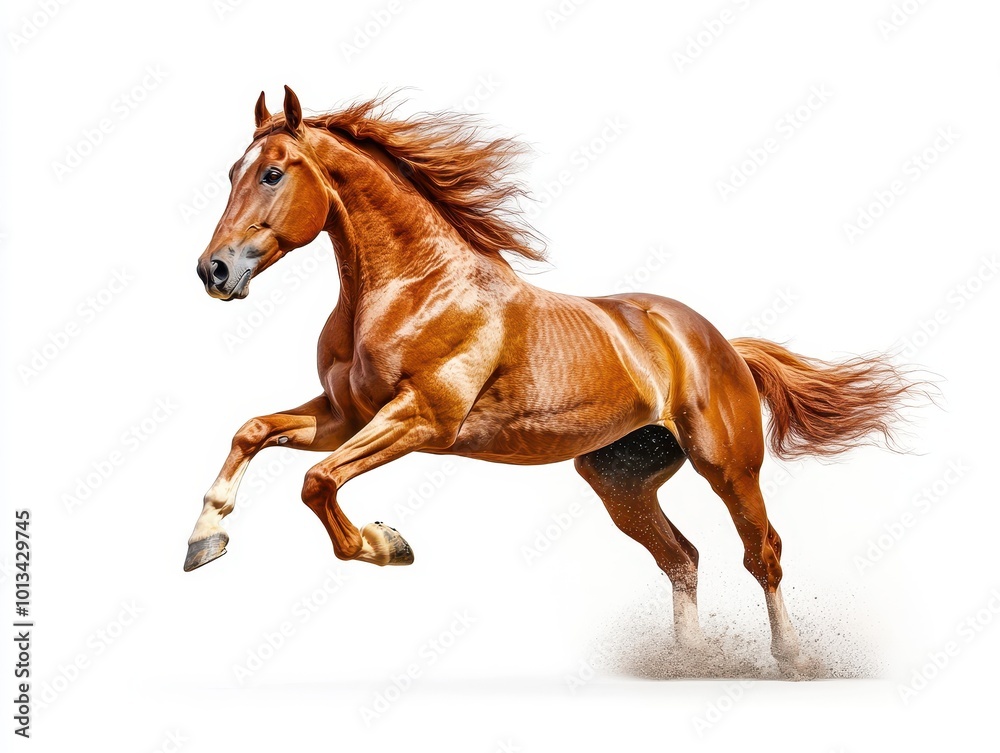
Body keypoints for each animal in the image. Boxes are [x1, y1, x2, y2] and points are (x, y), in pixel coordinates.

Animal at [187, 86, 920, 674]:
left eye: (273, 173)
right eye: (230, 172)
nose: (213, 270)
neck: (410, 287)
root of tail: (720, 344)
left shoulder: (421, 417)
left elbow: (319, 481)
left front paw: (387, 543)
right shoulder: (345, 413)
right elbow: (253, 430)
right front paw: (204, 538)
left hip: (729, 466)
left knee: (761, 553)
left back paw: (791, 659)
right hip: (619, 479)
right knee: (681, 556)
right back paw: (689, 661)